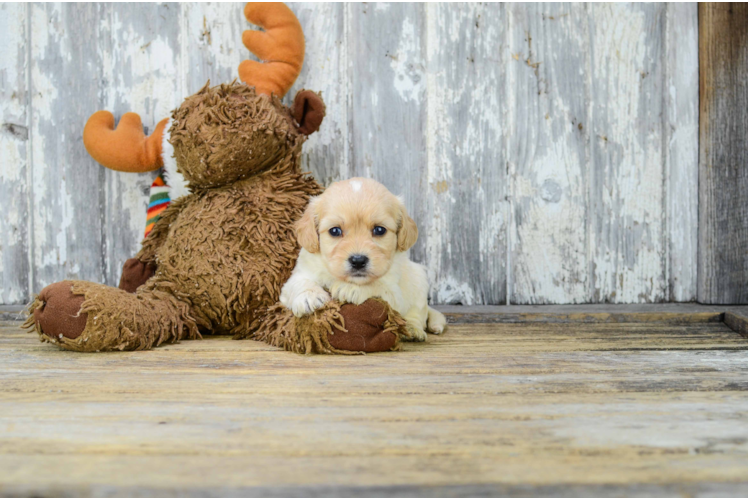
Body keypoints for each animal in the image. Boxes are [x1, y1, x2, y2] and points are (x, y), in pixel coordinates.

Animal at [280, 177, 444, 340]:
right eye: (335, 231)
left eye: (379, 230)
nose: (358, 261)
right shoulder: (298, 275)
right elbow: (300, 282)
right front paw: (309, 296)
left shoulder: (395, 293)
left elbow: (379, 286)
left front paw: (351, 288)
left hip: (419, 279)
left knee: (418, 313)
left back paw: (412, 329)